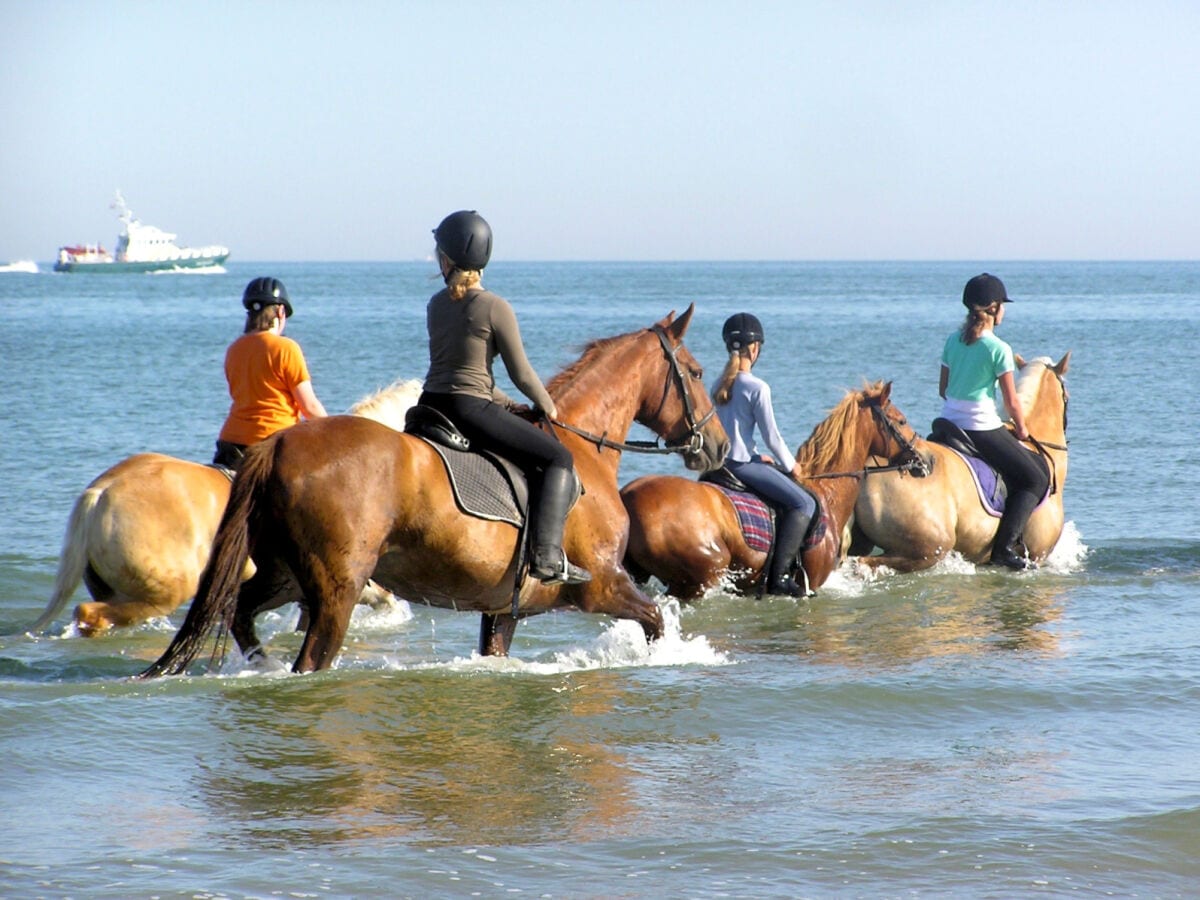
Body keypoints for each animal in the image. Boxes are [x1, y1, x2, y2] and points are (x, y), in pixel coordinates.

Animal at [136, 309, 724, 676]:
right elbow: (655, 621)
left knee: (240, 613)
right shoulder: (603, 585)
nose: (716, 447)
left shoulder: (504, 611)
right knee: (310, 659)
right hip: (337, 590)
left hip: (285, 575)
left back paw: (261, 665)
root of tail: (279, 444)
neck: (583, 449)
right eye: (696, 373)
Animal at [619, 379, 916, 600]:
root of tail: (627, 495)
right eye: (901, 421)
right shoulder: (812, 583)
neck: (826, 491)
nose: (923, 459)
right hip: (698, 578)